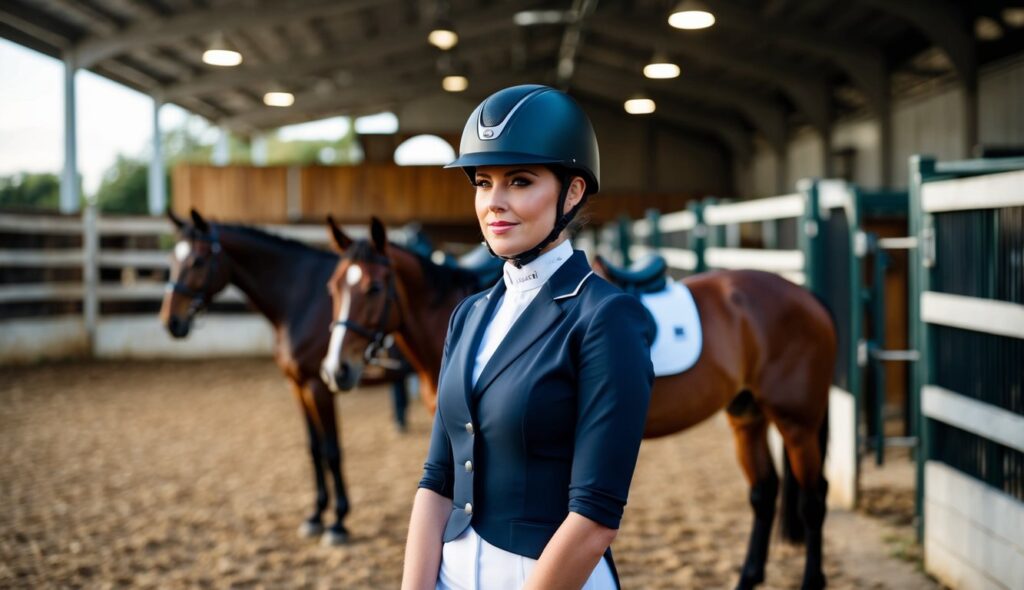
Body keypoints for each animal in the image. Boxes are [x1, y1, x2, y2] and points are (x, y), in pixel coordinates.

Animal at [323, 218, 835, 590]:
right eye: (333, 288)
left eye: (373, 288)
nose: (335, 370)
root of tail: (804, 295)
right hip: (746, 415)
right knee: (764, 492)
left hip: (797, 422)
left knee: (814, 498)